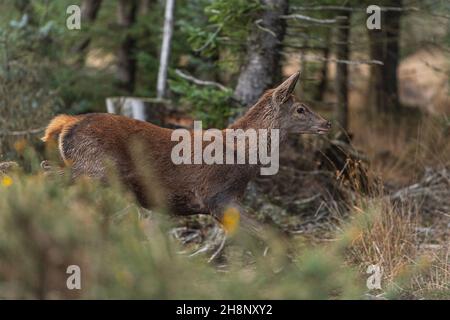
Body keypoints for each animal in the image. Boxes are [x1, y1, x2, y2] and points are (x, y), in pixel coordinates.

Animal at [42, 72, 330, 238]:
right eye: (301, 109)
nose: (327, 122)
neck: (246, 160)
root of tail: (67, 123)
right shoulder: (218, 196)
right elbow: (266, 234)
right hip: (96, 168)